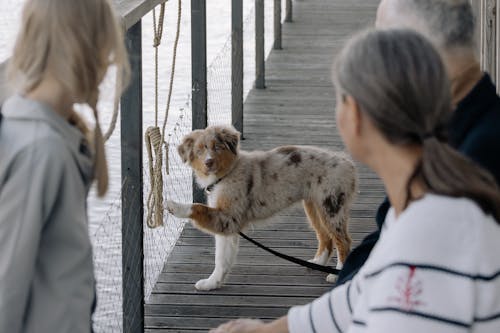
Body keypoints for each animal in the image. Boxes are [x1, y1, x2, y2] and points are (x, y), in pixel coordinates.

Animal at [166, 123, 358, 290]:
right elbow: (221, 258)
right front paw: (212, 283)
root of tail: (347, 163)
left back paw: (337, 274)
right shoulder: (226, 224)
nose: (209, 162)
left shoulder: (228, 217)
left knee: (343, 241)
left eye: (217, 147)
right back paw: (317, 263)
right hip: (314, 205)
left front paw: (174, 206)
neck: (226, 174)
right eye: (199, 151)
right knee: (325, 236)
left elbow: (197, 207)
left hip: (332, 205)